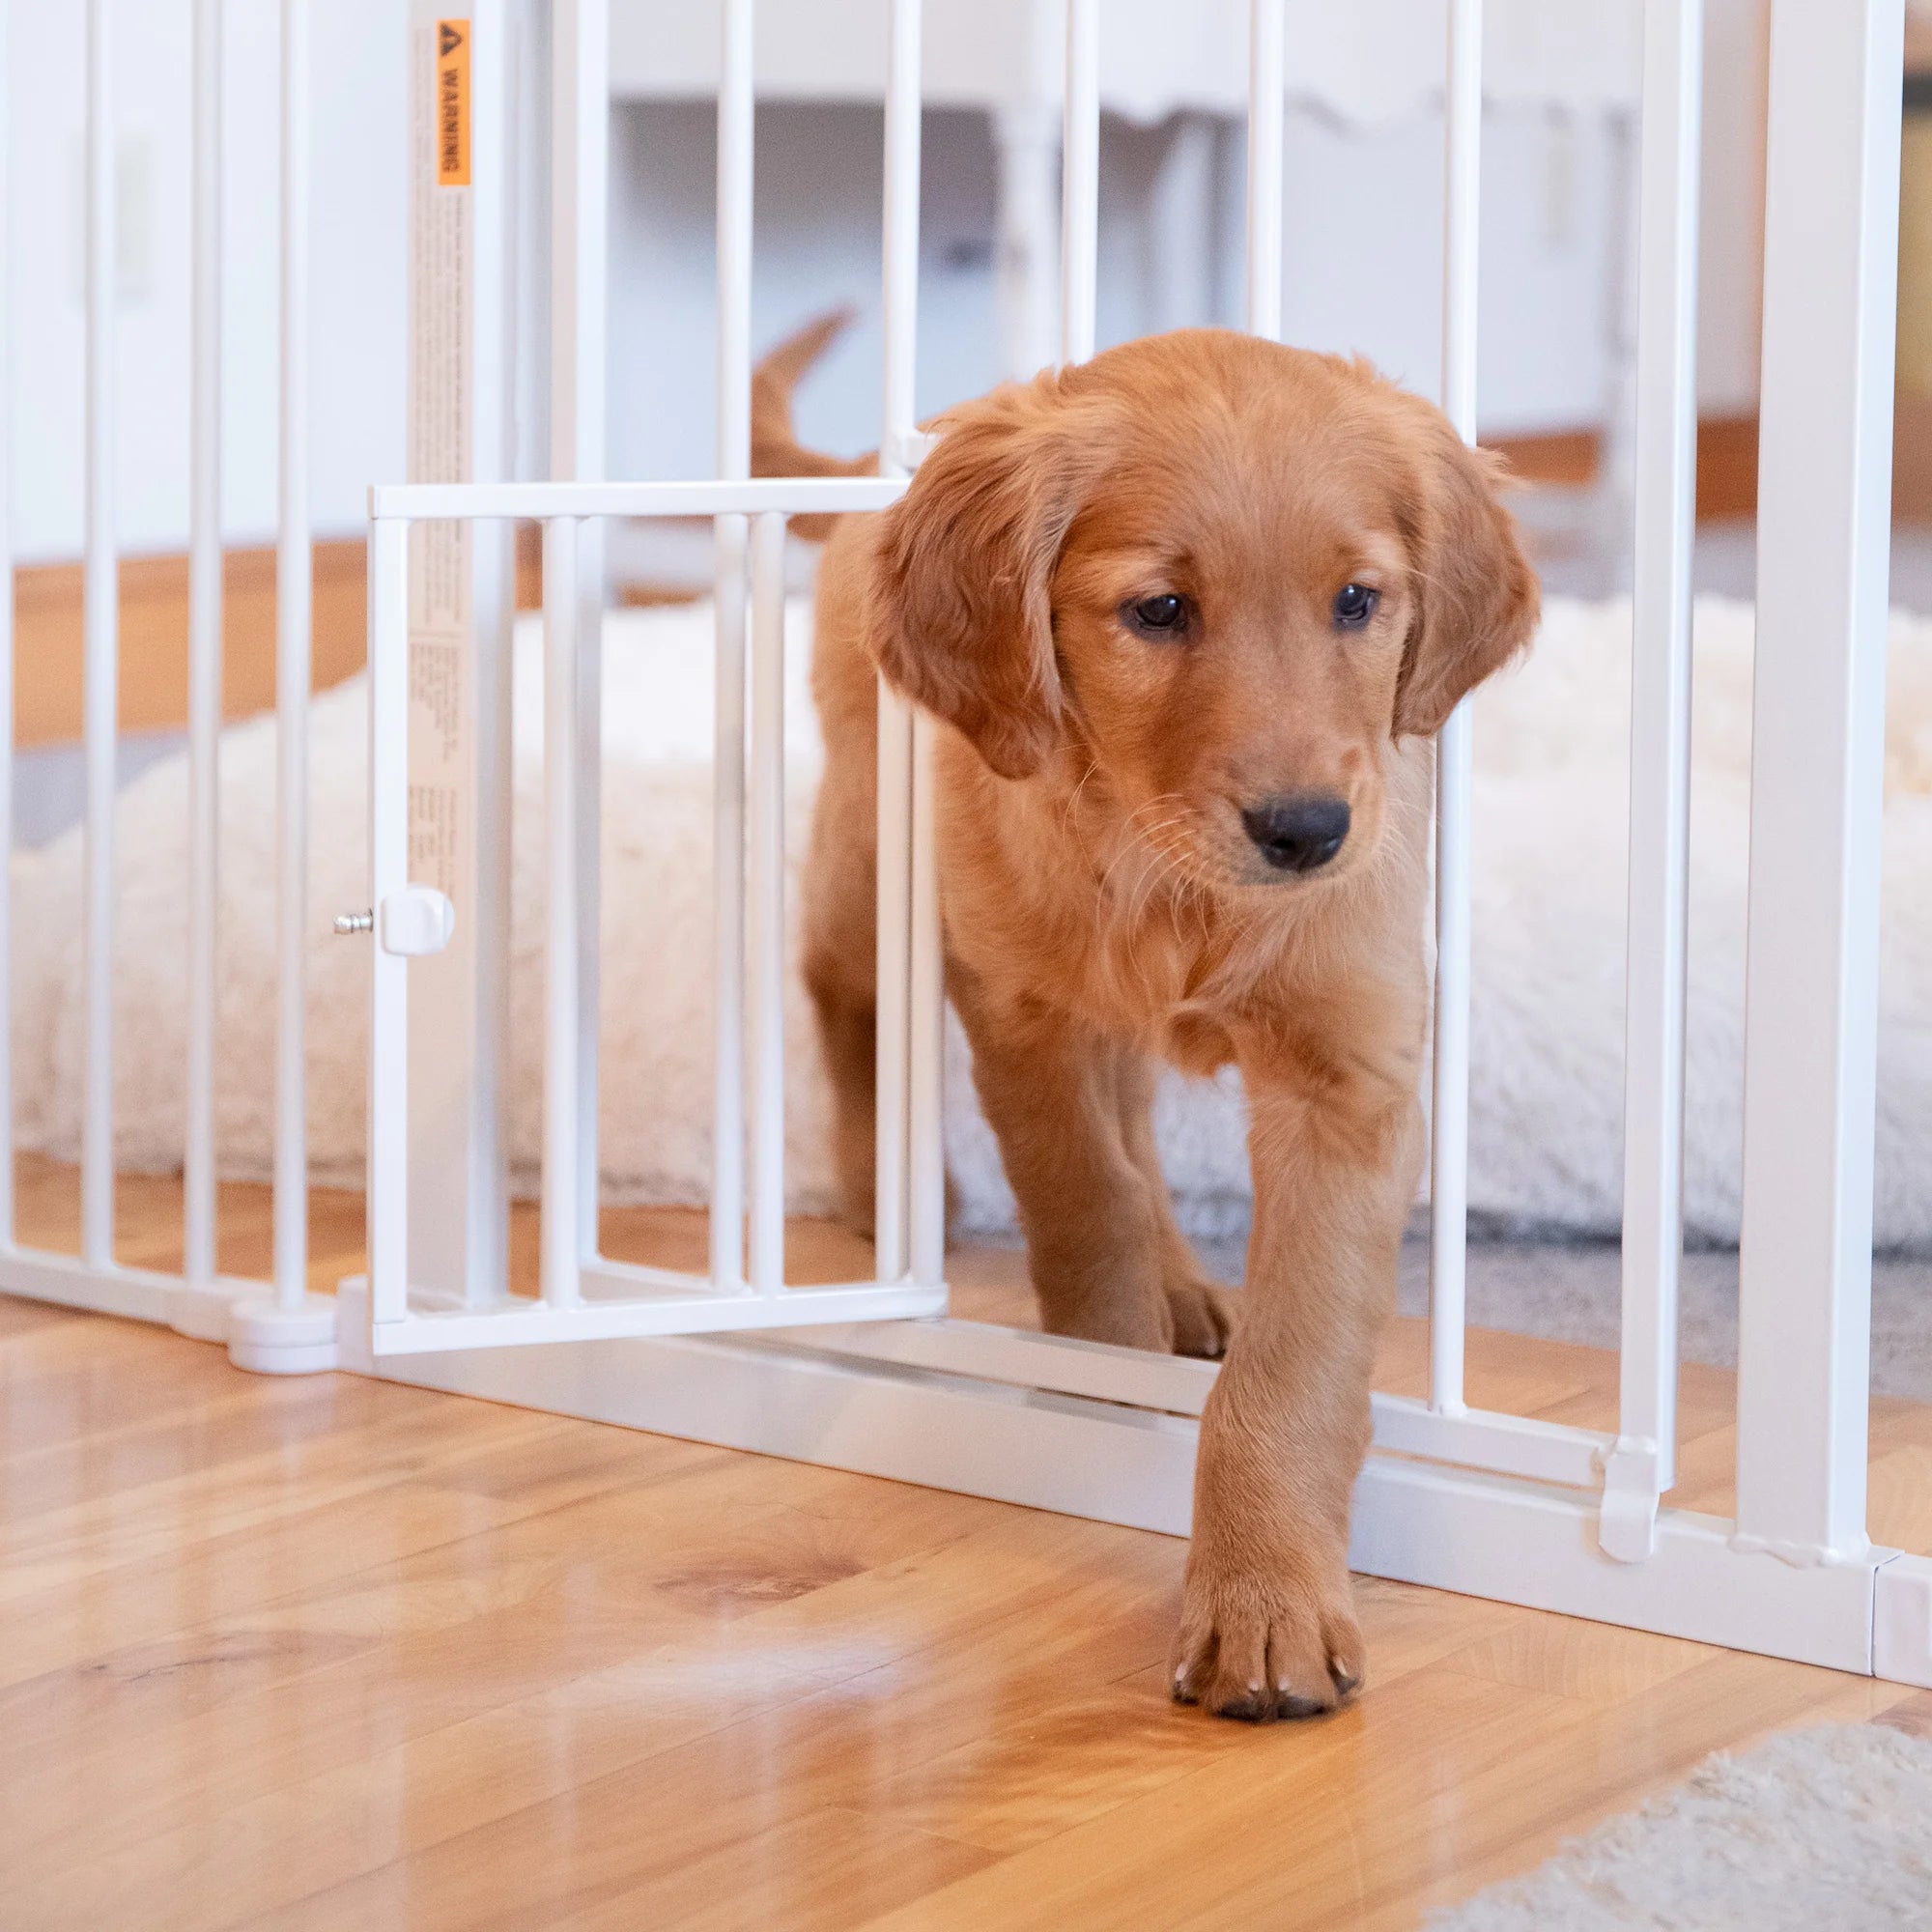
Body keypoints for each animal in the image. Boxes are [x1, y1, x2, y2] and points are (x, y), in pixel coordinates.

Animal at [753, 321, 1538, 1723]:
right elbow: (1084, 1210)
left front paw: (1267, 1599)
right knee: (842, 990)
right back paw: (884, 1185)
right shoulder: (1020, 1013)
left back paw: (1186, 1283)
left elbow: (1293, 1359)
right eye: (1159, 610)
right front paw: (1100, 1389)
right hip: (865, 860)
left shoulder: (1348, 1072)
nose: (1307, 832)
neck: (1167, 877)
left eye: (1357, 601)